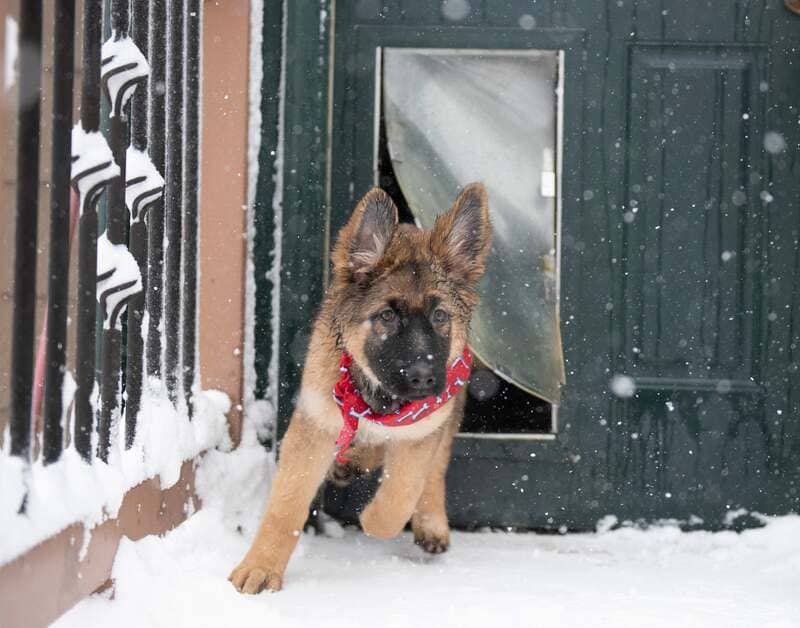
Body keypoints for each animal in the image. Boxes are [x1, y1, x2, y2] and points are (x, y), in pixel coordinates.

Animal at [228, 183, 490, 592]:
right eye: (387, 316)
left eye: (439, 316)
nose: (423, 378)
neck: (378, 399)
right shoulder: (314, 425)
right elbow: (286, 506)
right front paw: (261, 567)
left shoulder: (422, 430)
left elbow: (401, 494)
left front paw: (373, 519)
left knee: (436, 465)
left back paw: (429, 520)